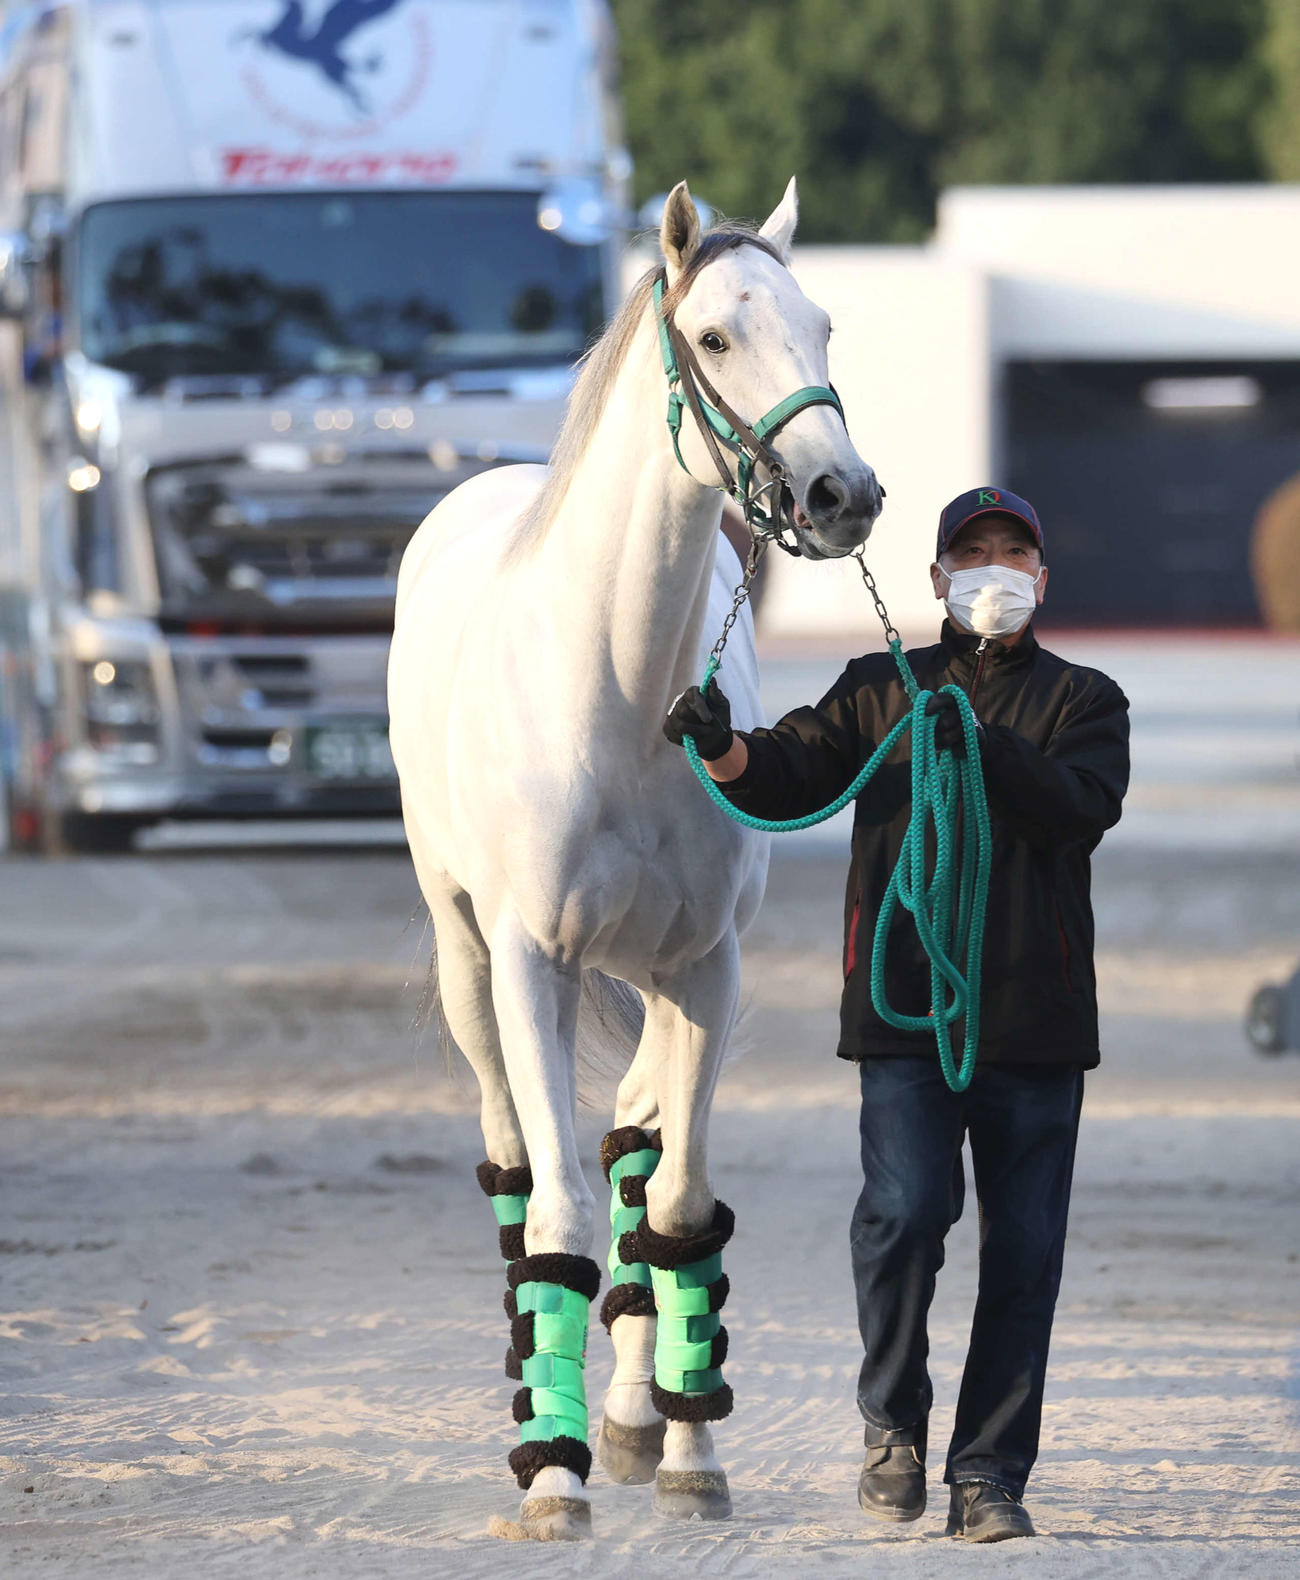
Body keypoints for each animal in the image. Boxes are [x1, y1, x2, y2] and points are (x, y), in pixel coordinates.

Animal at [387, 179, 883, 1540]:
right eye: (714, 334)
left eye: (823, 325)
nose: (844, 494)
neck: (614, 691)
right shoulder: (532, 964)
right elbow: (556, 1203)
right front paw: (550, 1475)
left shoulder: (704, 970)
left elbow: (674, 1207)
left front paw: (685, 1450)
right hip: (466, 963)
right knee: (522, 1163)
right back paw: (544, 1400)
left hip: (656, 984)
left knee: (635, 1146)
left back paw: (630, 1406)